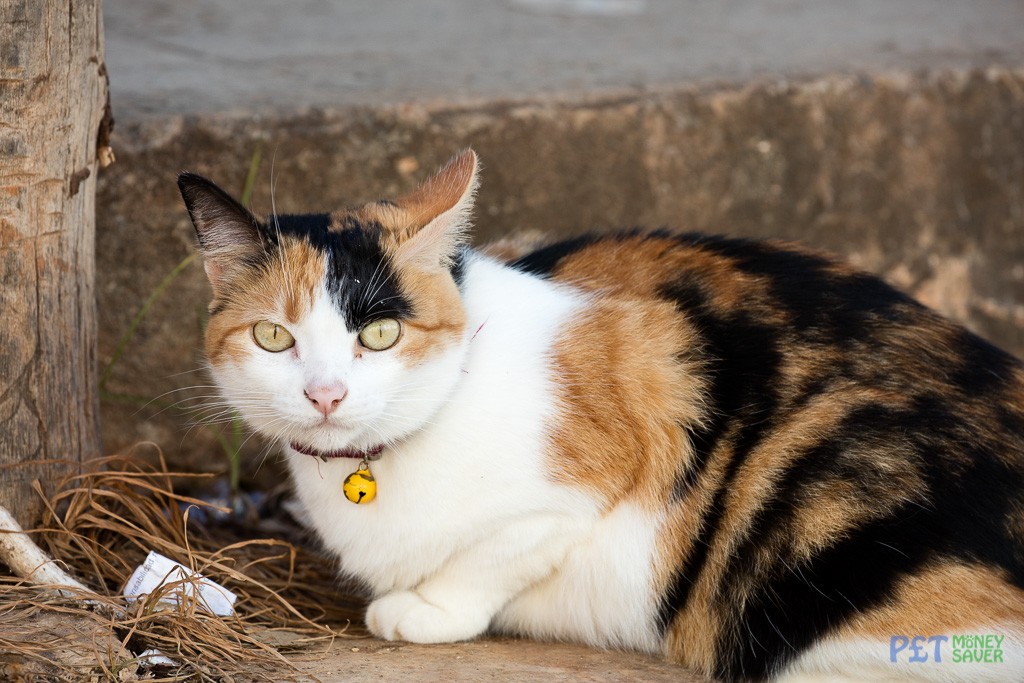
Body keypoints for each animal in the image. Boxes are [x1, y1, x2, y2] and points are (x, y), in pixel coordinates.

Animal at [180, 150, 1024, 683]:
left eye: (380, 334)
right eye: (273, 336)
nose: (325, 394)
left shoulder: (636, 407)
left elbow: (499, 548)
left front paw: (422, 609)